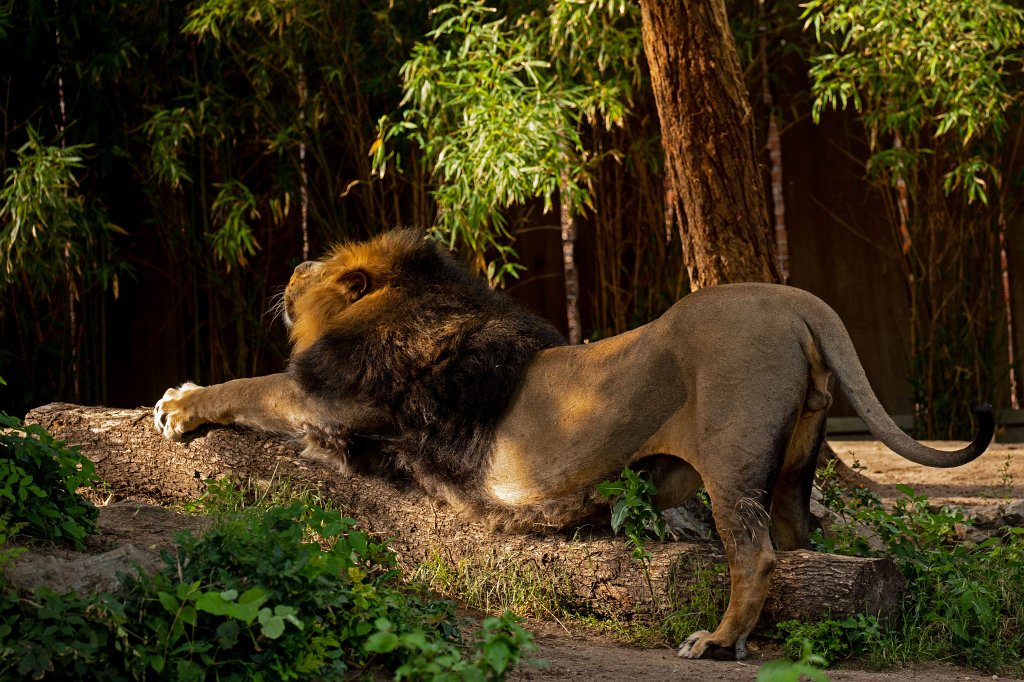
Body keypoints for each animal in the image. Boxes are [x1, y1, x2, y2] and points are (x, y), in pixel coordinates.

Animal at [154, 228, 993, 661]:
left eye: (318, 266)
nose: (291, 263)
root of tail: (795, 299)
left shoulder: (328, 399)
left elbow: (250, 385)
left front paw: (177, 404)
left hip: (729, 459)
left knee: (754, 557)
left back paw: (717, 641)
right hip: (796, 466)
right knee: (801, 550)